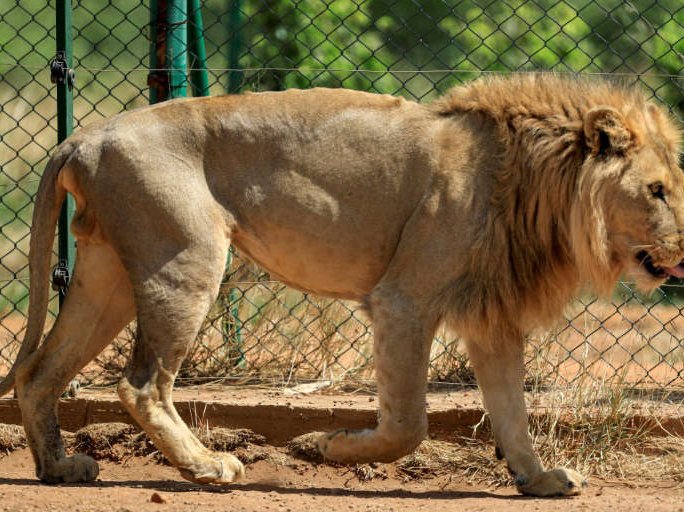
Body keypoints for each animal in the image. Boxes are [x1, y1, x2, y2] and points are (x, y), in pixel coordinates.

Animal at [0, 73, 681, 497]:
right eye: (657, 190)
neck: (535, 181)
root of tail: (82, 135)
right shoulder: (404, 300)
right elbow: (408, 425)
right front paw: (320, 447)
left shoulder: (491, 317)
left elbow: (511, 412)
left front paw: (538, 481)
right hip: (185, 258)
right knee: (141, 384)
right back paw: (207, 466)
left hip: (108, 274)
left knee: (38, 373)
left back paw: (59, 467)